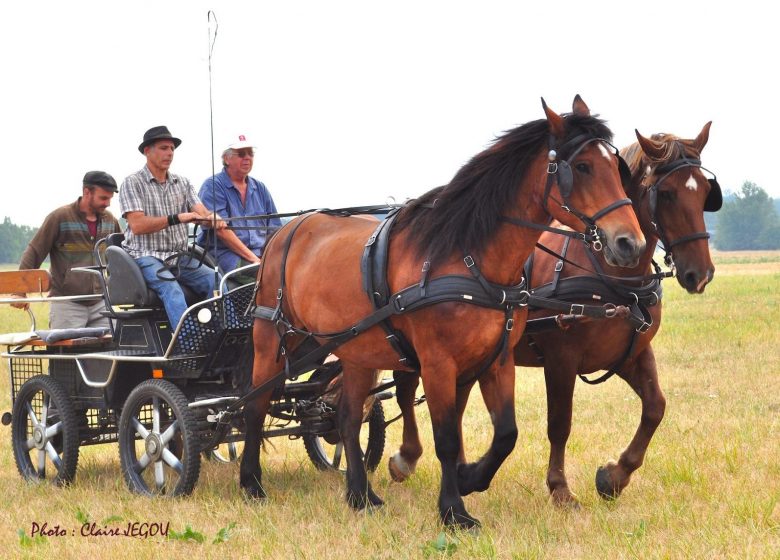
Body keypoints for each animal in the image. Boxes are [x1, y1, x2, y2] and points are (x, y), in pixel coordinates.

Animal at [244, 94, 644, 528]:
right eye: (583, 167)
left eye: (616, 167)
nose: (630, 244)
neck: (468, 258)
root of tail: (285, 231)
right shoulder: (437, 363)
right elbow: (448, 438)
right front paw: (454, 510)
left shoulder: (497, 359)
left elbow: (507, 434)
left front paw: (470, 479)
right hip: (272, 339)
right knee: (254, 405)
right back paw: (251, 484)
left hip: (356, 351)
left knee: (347, 417)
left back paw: (360, 495)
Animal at [384, 123, 720, 512]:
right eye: (665, 193)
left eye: (706, 191)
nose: (700, 274)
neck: (607, 273)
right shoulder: (561, 359)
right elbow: (560, 423)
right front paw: (560, 487)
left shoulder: (630, 355)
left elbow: (655, 408)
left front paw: (614, 477)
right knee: (406, 390)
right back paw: (406, 458)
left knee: (456, 402)